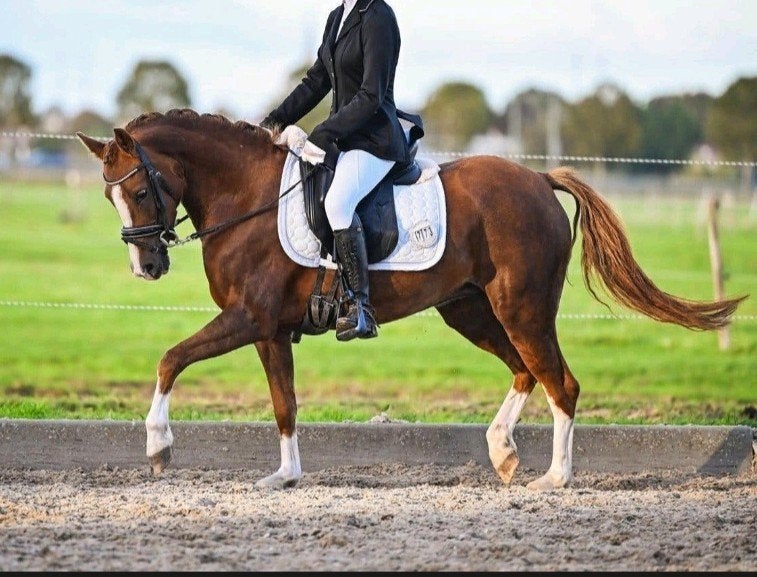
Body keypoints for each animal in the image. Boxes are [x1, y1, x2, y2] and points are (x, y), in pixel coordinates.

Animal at [76, 108, 746, 491]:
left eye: (139, 188)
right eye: (110, 196)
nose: (146, 266)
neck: (249, 198)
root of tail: (537, 178)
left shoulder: (248, 318)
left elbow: (170, 358)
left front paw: (159, 448)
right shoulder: (268, 329)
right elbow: (283, 404)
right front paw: (285, 476)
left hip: (522, 308)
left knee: (561, 381)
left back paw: (555, 478)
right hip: (469, 309)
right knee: (526, 371)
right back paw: (503, 454)